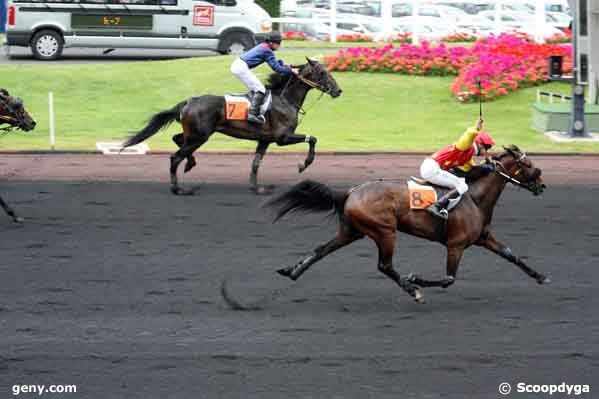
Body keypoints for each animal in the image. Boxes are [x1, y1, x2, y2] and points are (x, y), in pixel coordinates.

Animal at [123, 58, 342, 196]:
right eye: (322, 72)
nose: (338, 91)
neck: (285, 99)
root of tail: (188, 101)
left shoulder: (265, 140)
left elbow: (255, 164)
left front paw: (257, 188)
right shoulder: (283, 137)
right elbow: (312, 139)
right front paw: (303, 165)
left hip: (194, 134)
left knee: (178, 140)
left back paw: (190, 163)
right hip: (200, 136)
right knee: (175, 157)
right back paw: (179, 189)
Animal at [270, 145, 552, 304]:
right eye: (528, 164)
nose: (541, 185)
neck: (474, 197)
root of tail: (350, 192)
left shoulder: (483, 237)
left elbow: (511, 255)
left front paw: (541, 276)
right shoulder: (456, 244)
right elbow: (448, 278)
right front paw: (416, 279)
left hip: (352, 231)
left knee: (321, 250)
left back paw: (292, 271)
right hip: (385, 230)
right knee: (385, 265)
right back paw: (411, 290)